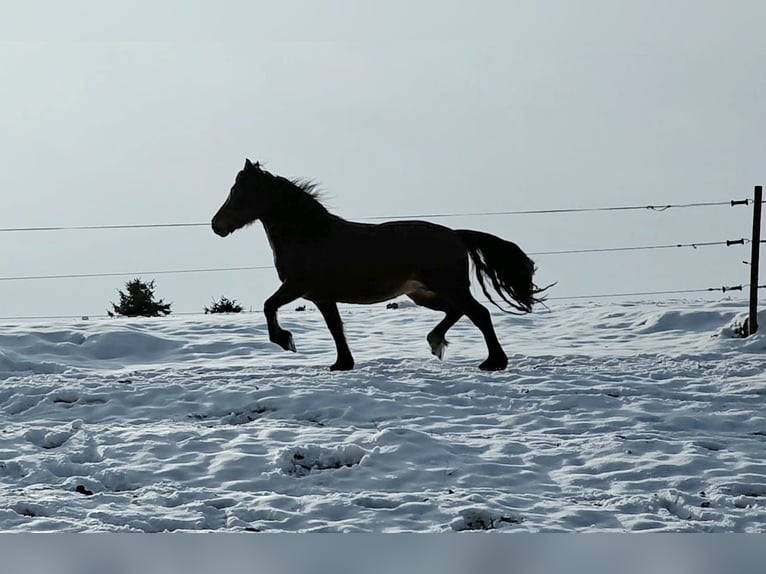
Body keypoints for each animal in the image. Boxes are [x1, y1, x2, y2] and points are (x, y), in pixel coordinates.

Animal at [212, 159, 548, 371]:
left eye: (238, 192)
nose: (217, 225)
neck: (308, 235)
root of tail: (455, 234)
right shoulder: (322, 297)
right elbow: (335, 328)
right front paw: (342, 364)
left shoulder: (298, 286)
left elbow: (269, 306)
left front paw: (287, 342)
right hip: (423, 293)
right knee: (458, 312)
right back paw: (436, 343)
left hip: (446, 286)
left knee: (479, 314)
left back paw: (493, 362)